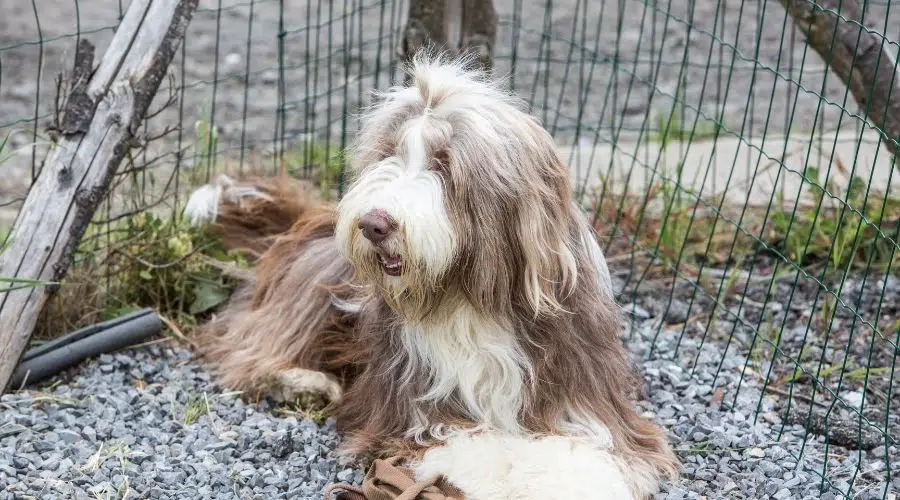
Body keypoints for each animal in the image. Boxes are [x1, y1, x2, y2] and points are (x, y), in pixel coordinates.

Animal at [186, 52, 680, 498]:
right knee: (247, 347)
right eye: (388, 154)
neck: (467, 298)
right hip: (306, 286)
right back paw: (304, 383)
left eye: (444, 163)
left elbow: (594, 451)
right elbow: (474, 446)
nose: (374, 223)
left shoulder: (582, 394)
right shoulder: (414, 412)